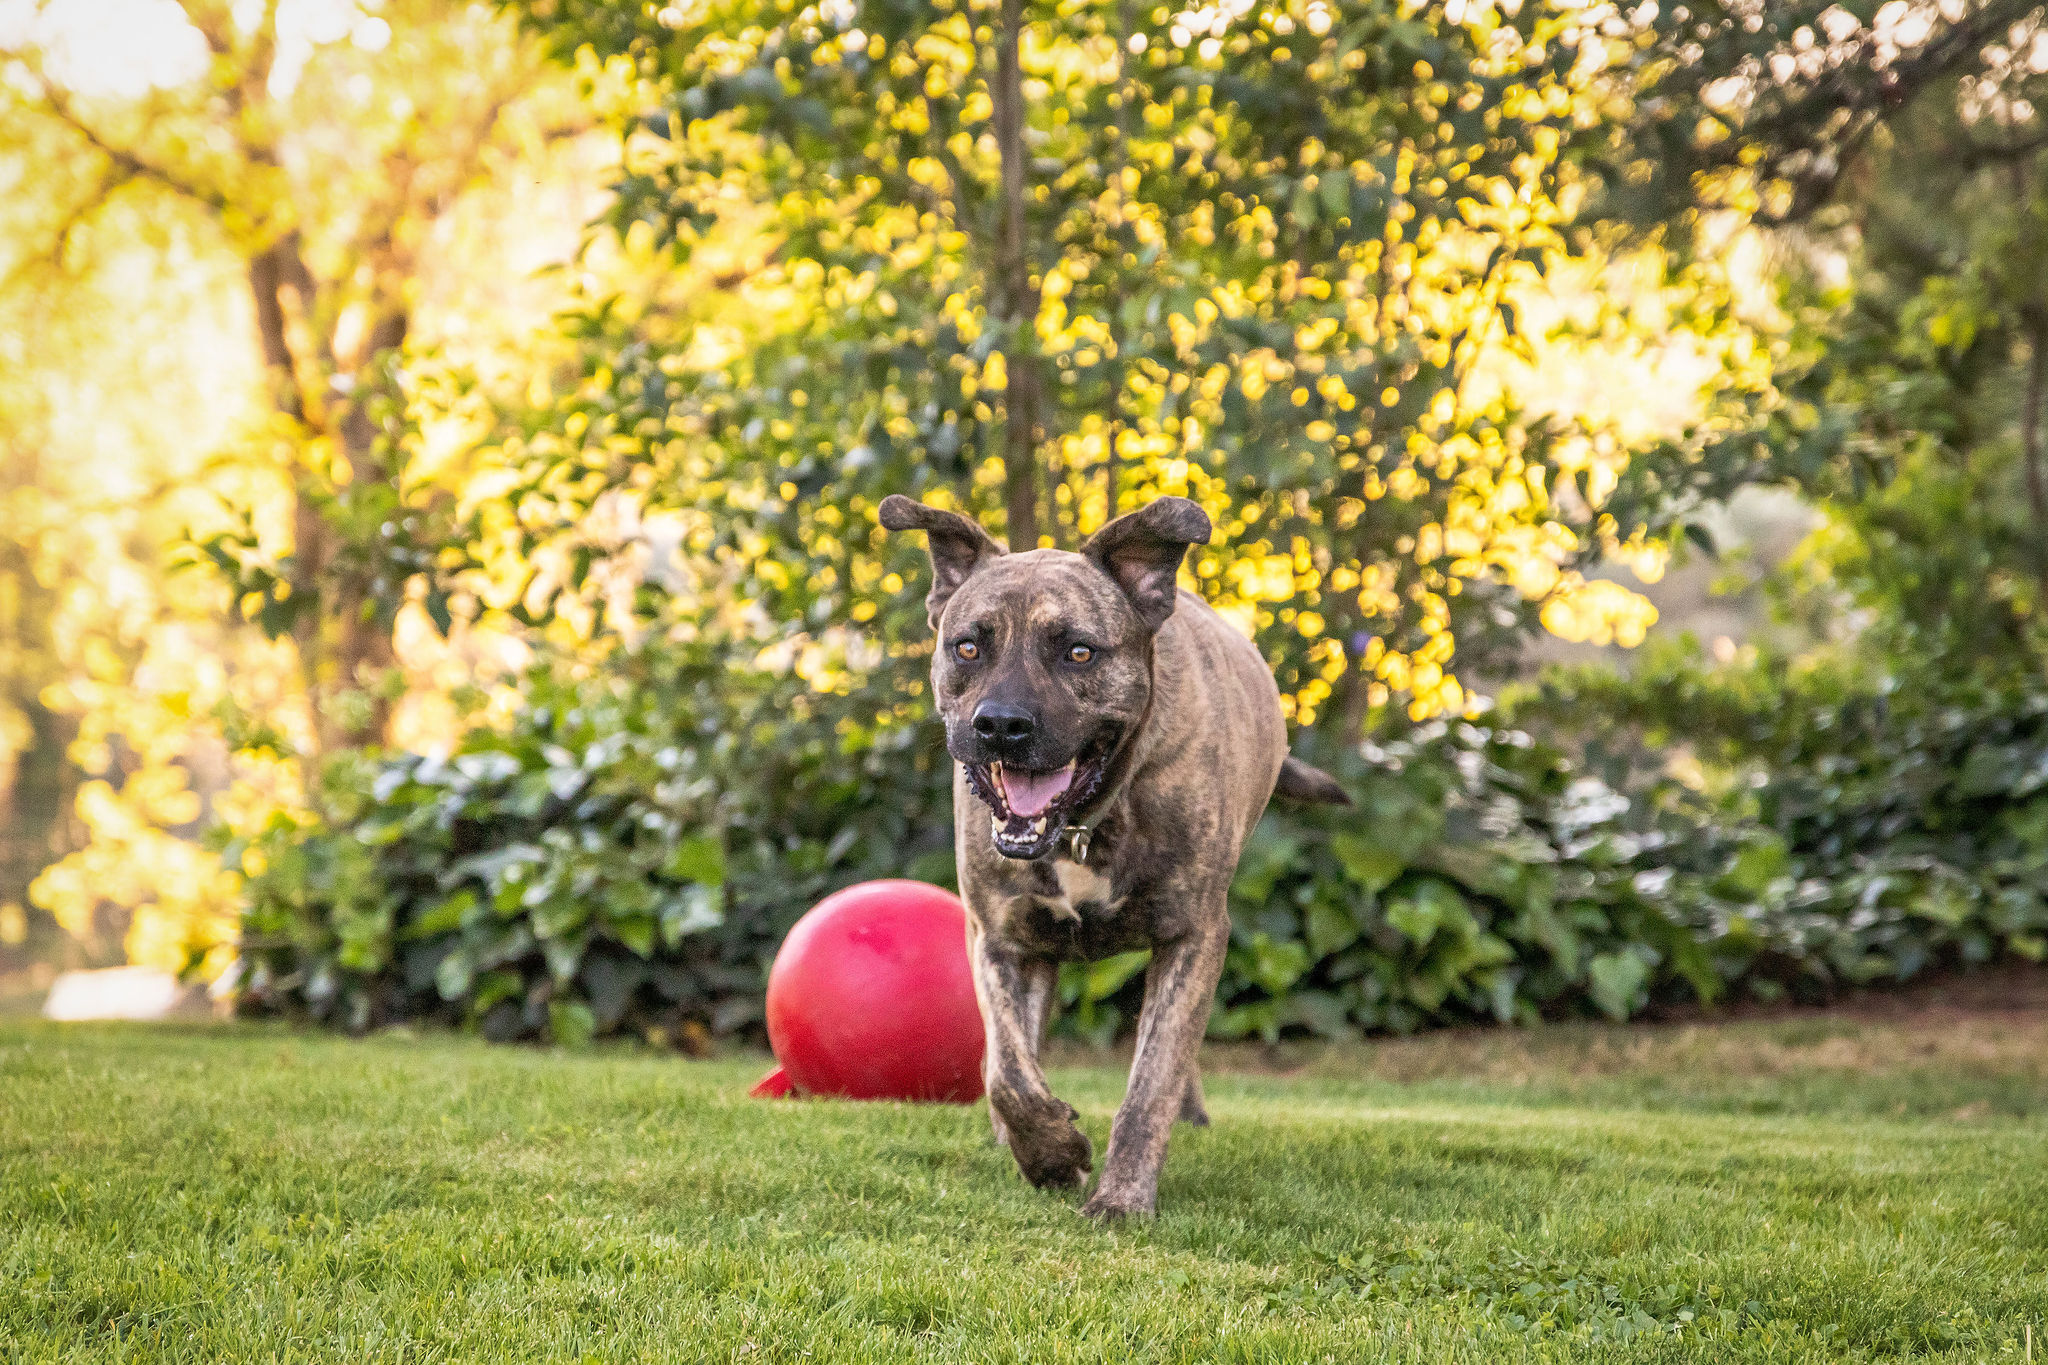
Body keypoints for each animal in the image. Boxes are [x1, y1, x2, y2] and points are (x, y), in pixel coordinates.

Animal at [876, 491, 1343, 1219]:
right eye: (968, 646)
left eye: (1078, 651)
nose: (1001, 724)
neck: (1082, 823)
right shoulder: (998, 938)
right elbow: (1004, 1069)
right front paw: (1048, 1147)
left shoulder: (1192, 935)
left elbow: (1151, 1079)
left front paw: (1122, 1195)